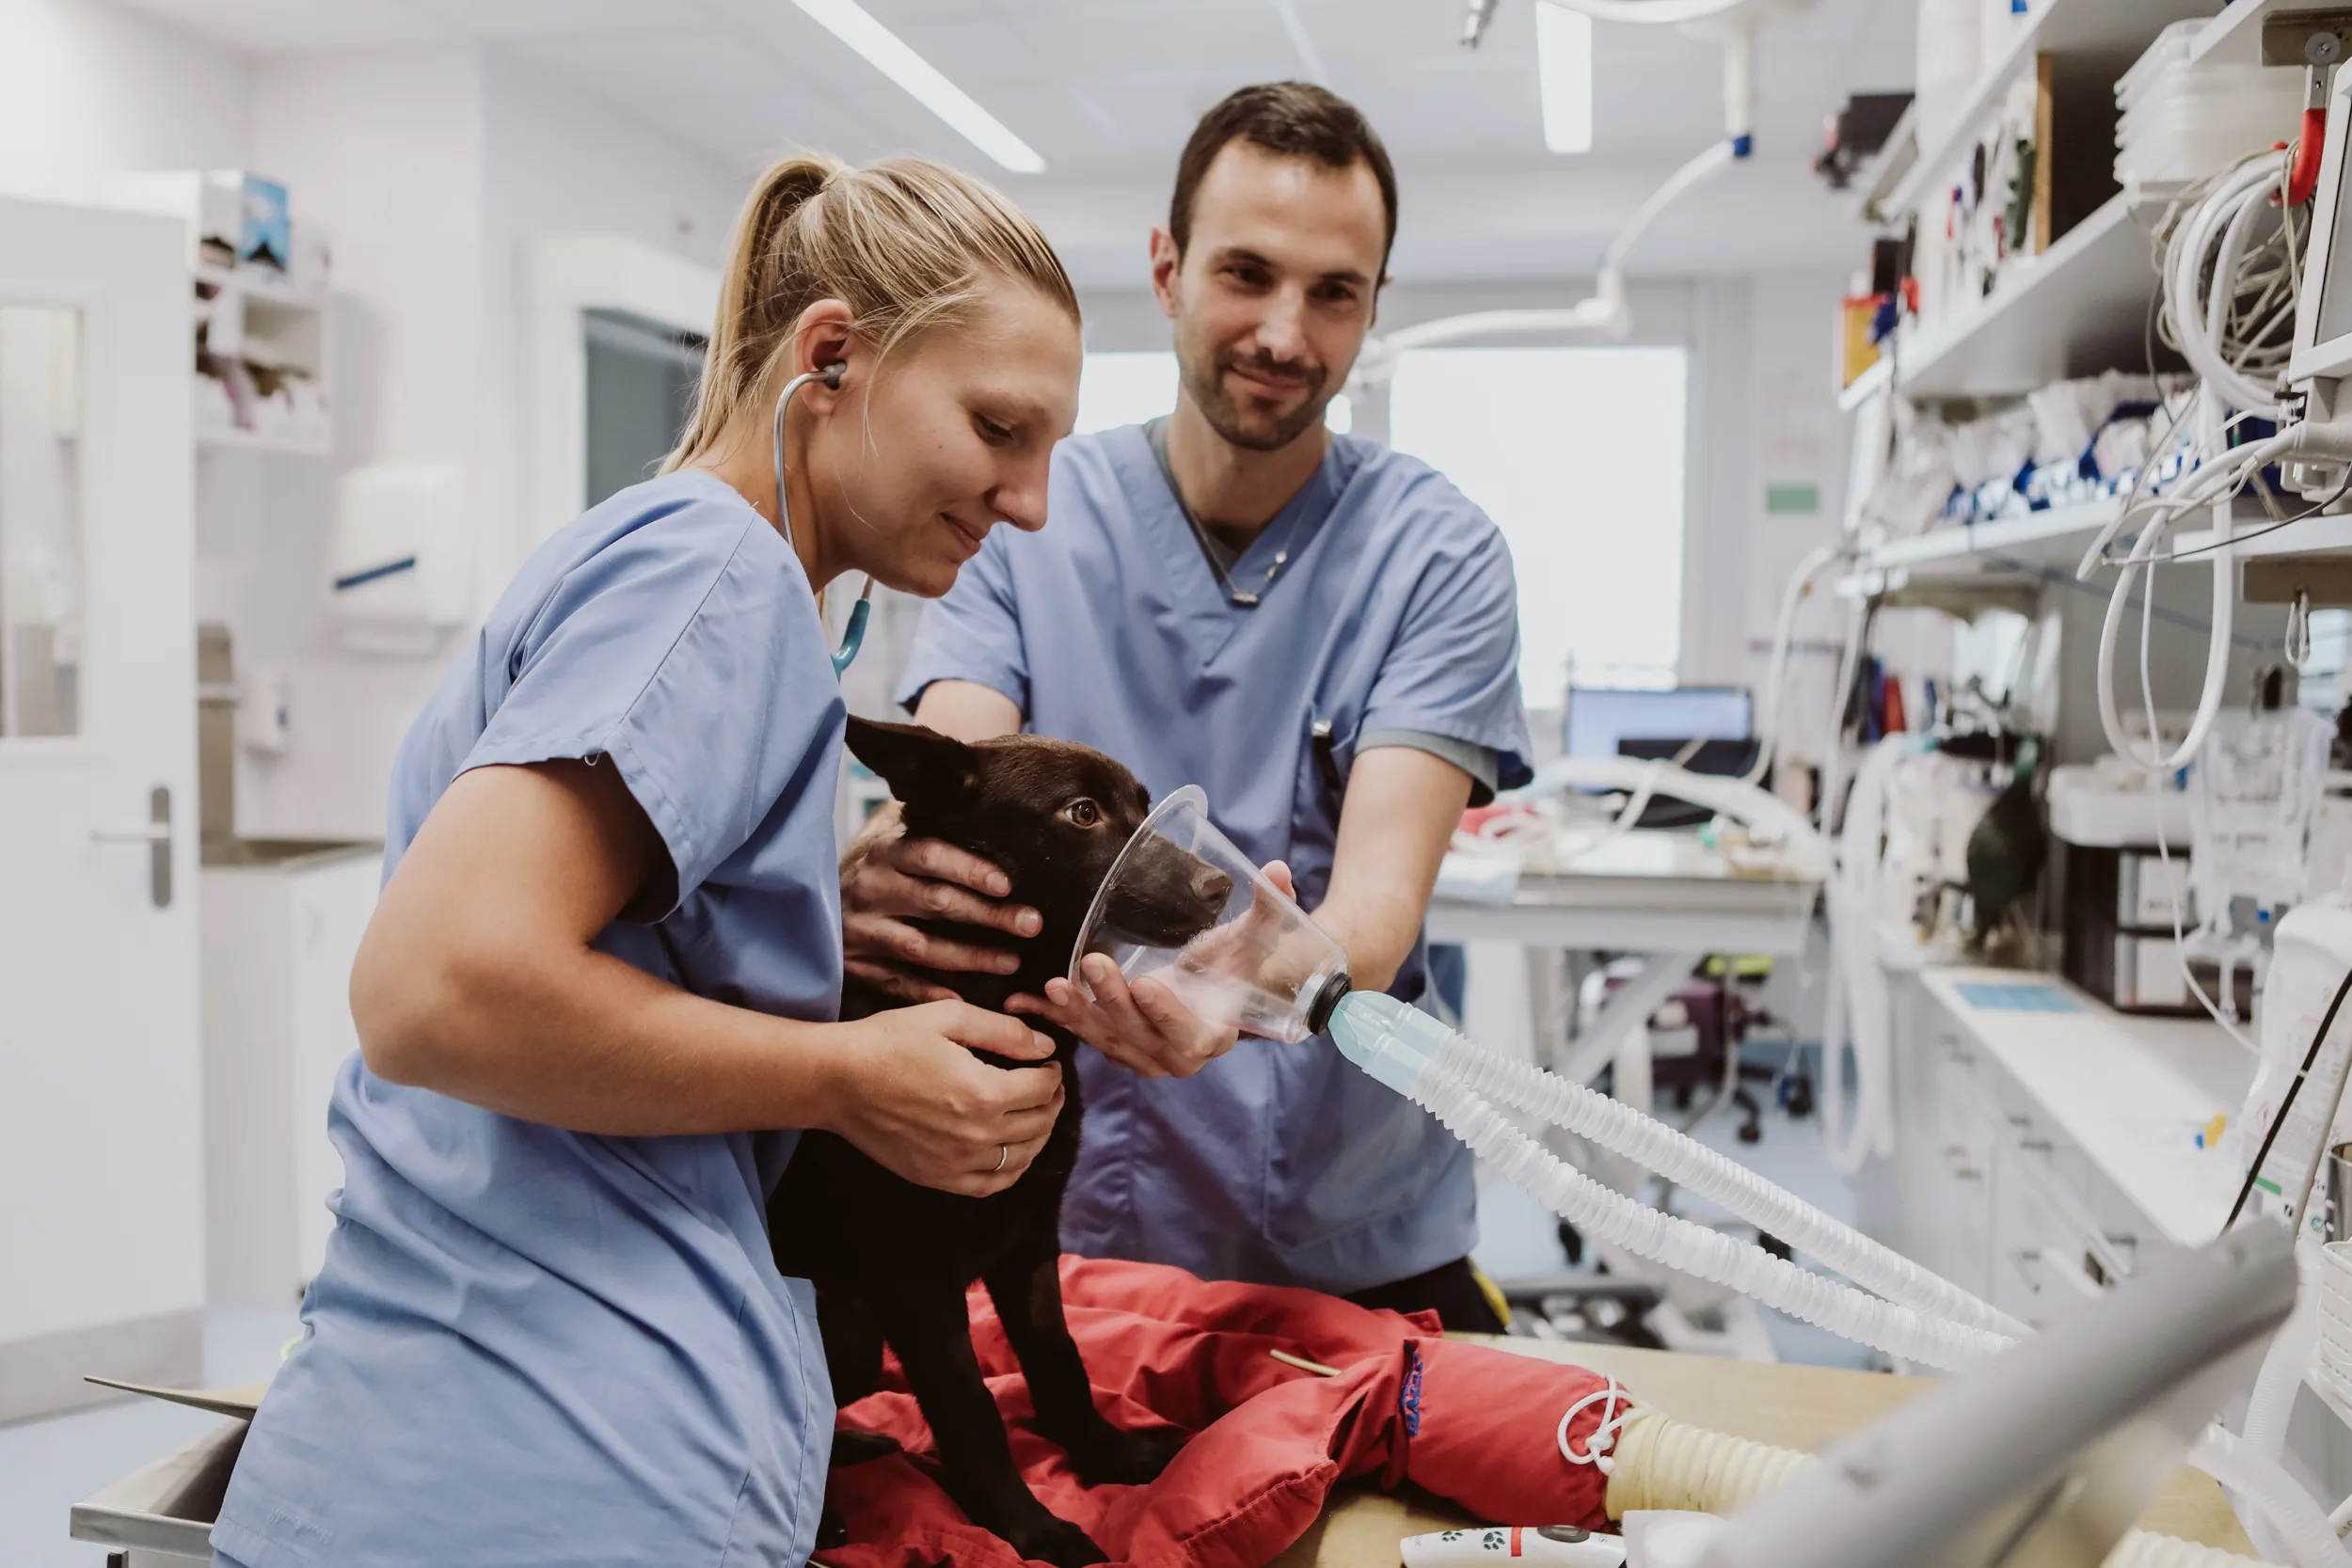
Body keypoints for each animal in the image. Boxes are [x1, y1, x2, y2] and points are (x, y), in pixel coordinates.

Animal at [771, 719, 1232, 1568]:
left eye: (1145, 806)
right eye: (1082, 813)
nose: (1219, 886)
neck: (999, 1015)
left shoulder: (1032, 1243)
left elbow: (1060, 1358)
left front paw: (1107, 1454)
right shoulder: (916, 1277)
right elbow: (972, 1409)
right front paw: (1031, 1529)